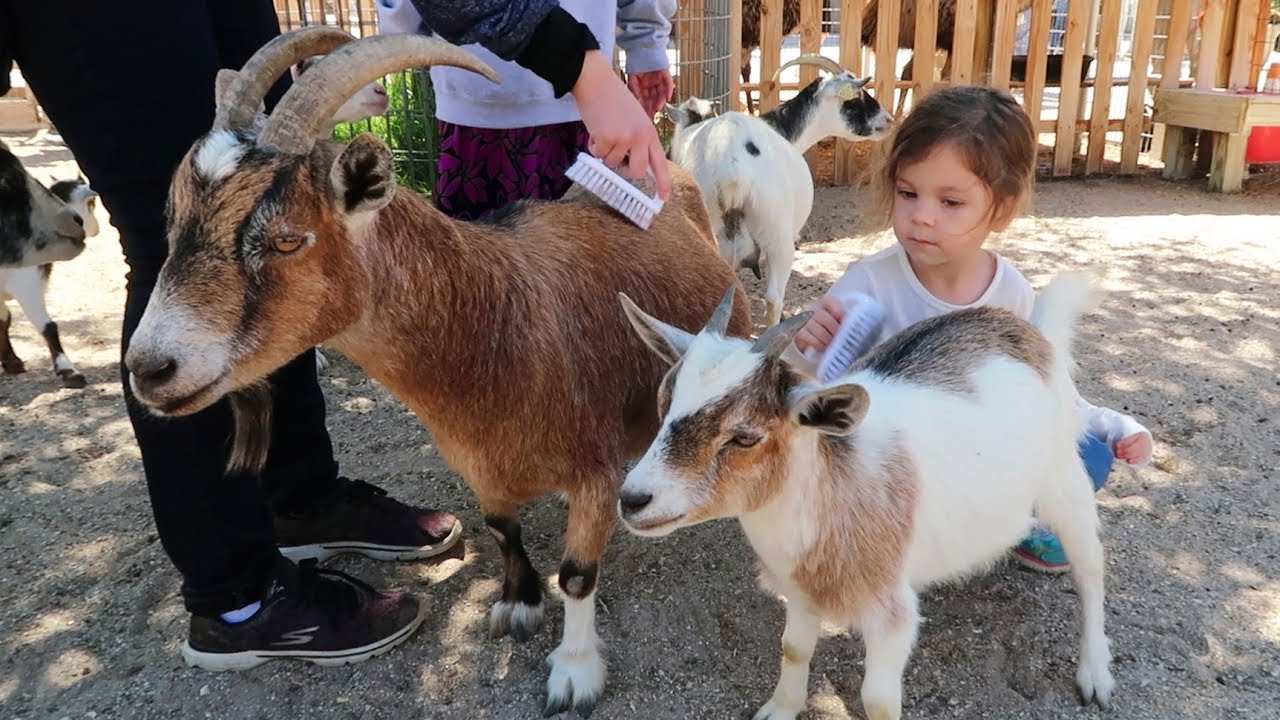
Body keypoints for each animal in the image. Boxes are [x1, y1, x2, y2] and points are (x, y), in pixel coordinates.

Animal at [1, 178, 99, 388]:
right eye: (92, 204)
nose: (95, 228)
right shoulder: (27, 284)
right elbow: (48, 327)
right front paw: (69, 371)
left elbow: (5, 320)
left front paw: (11, 362)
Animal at [121, 27, 752, 717]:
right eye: (173, 220)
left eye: (287, 239)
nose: (150, 368)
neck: (498, 324)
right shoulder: (478, 465)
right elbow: (501, 528)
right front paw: (517, 602)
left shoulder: (595, 471)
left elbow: (578, 575)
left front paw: (574, 673)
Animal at [615, 274, 1115, 720]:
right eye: (662, 404)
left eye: (744, 437)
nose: (633, 498)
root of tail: (1027, 330)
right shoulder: (799, 593)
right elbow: (793, 649)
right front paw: (781, 708)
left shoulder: (891, 616)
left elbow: (878, 701)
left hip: (1063, 479)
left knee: (1090, 567)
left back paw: (1095, 674)